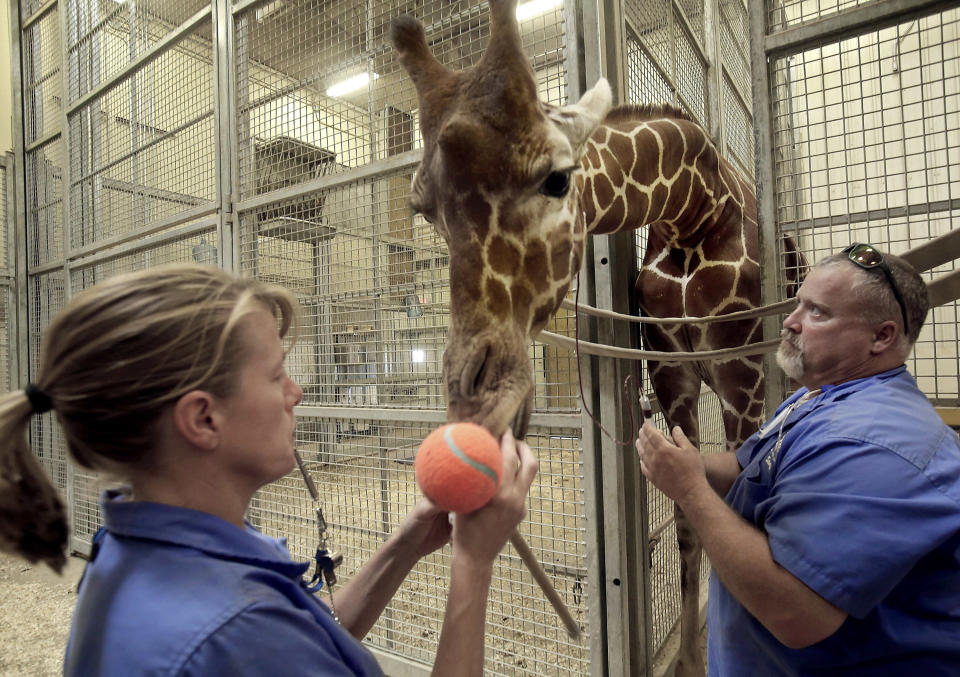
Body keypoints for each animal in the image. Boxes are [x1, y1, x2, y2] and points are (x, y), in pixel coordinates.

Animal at [390, 2, 804, 672]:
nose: (476, 402)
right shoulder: (673, 372)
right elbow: (689, 515)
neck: (693, 210)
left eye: (558, 180)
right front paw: (691, 659)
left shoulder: (740, 368)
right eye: (422, 206)